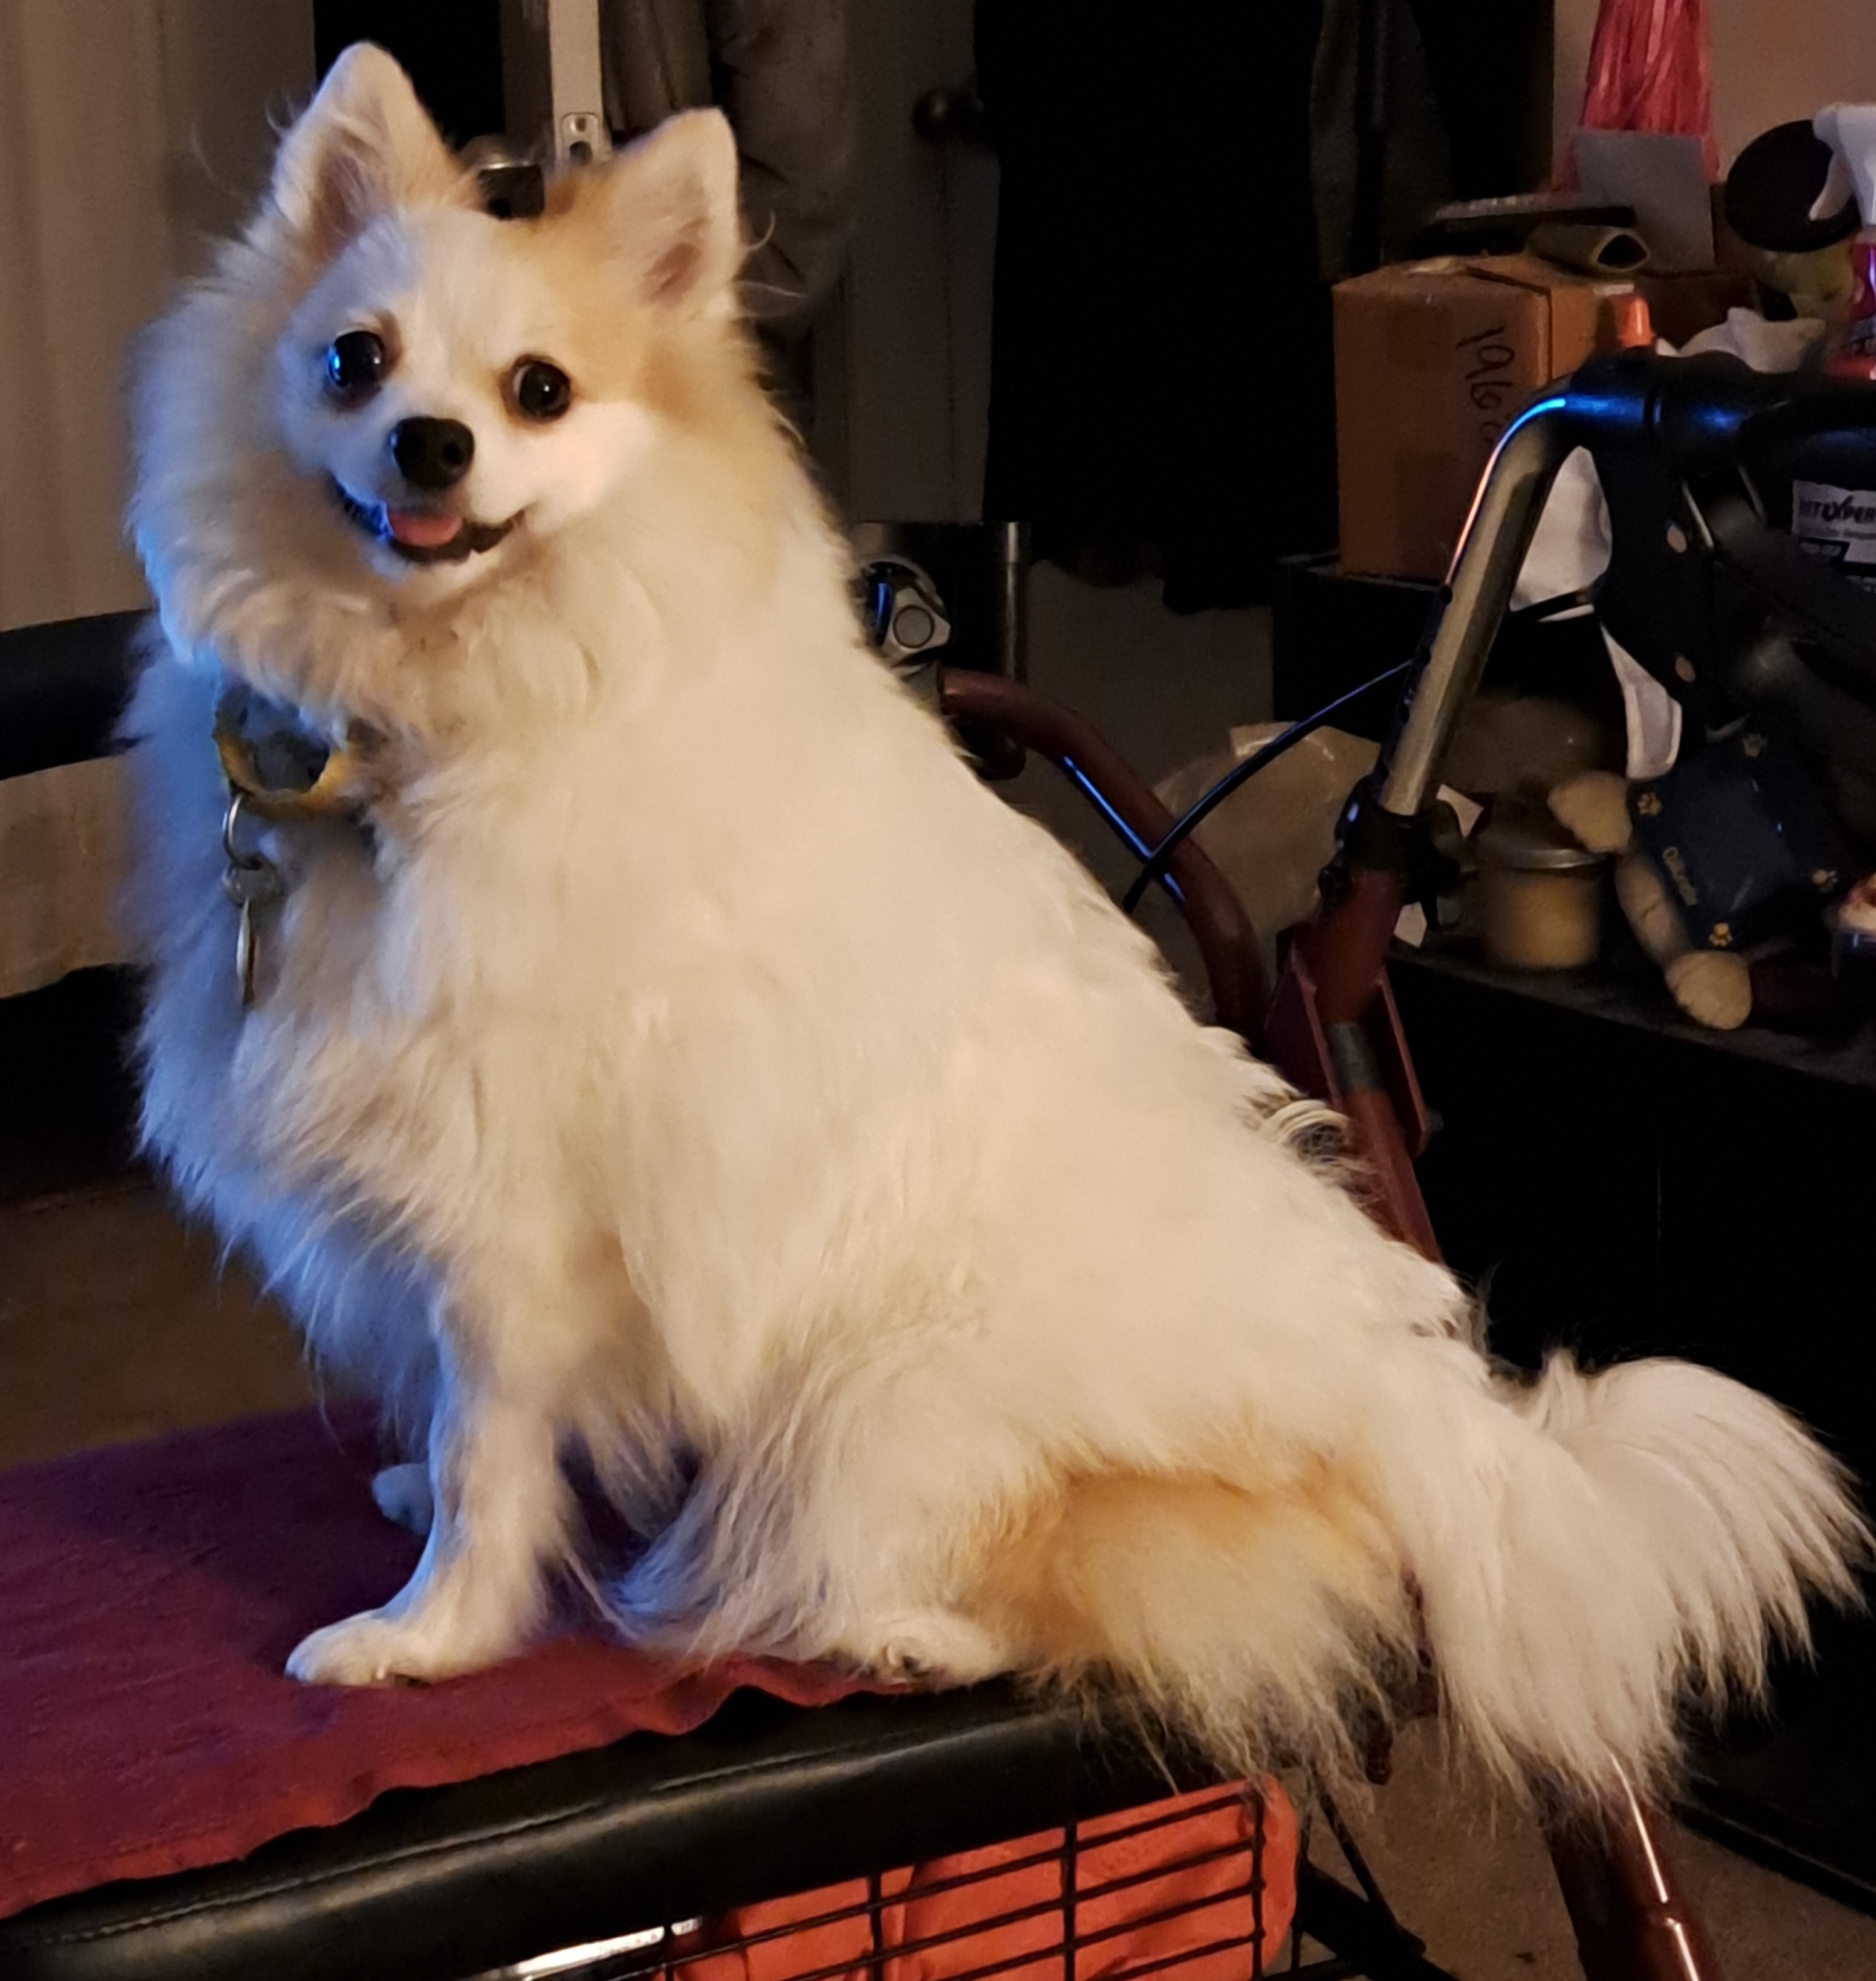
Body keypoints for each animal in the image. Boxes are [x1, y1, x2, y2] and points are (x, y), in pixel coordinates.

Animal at [125, 44, 1864, 1801]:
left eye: (538, 391)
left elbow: (487, 1451)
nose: (426, 445)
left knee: (1083, 1597)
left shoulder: (508, 1214)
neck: (433, 721)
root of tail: (1422, 1410)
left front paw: (424, 1635)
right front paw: (415, 1491)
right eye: (354, 361)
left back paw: (897, 1634)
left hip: (883, 1402)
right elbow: (451, 1420)